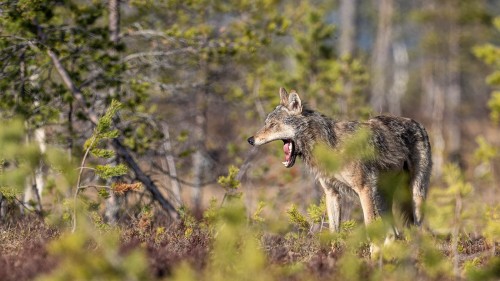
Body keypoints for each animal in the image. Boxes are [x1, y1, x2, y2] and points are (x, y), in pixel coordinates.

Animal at [248, 87, 432, 232]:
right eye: (266, 123)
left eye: (273, 125)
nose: (250, 140)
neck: (328, 146)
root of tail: (418, 123)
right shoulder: (331, 193)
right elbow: (333, 231)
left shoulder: (364, 189)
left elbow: (369, 226)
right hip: (383, 199)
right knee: (394, 234)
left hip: (415, 196)